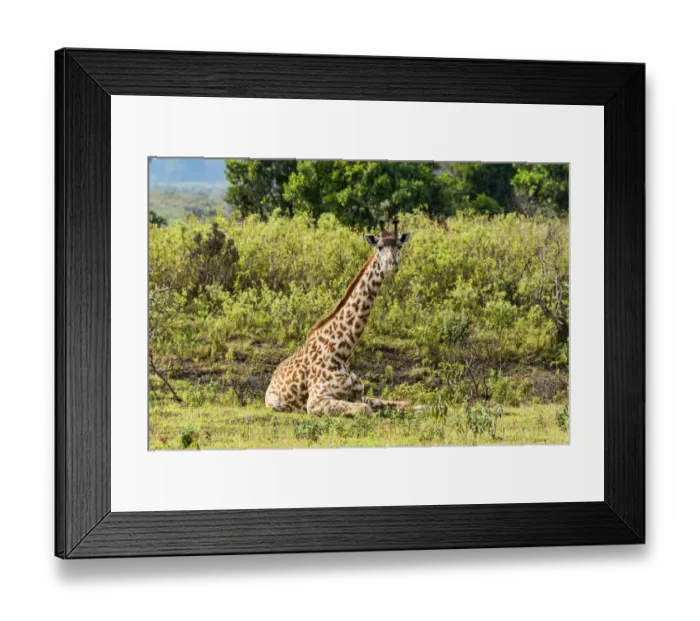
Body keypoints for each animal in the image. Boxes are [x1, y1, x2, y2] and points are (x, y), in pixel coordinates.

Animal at [265, 219, 413, 417]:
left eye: (399, 246)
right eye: (380, 246)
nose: (392, 265)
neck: (343, 353)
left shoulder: (358, 394)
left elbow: (406, 403)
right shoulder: (315, 401)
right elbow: (365, 410)